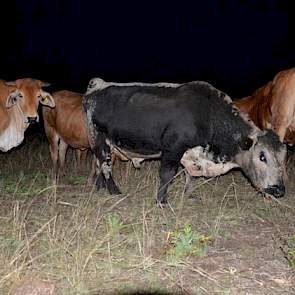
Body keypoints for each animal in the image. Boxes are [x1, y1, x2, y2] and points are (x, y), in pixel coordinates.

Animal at [82, 77, 286, 205]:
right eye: (262, 156)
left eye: (283, 157)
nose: (279, 190)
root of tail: (97, 85)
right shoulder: (173, 148)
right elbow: (167, 174)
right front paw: (161, 201)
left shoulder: (193, 154)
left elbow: (191, 176)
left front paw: (189, 195)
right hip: (99, 139)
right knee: (105, 165)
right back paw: (114, 191)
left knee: (99, 165)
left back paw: (100, 188)